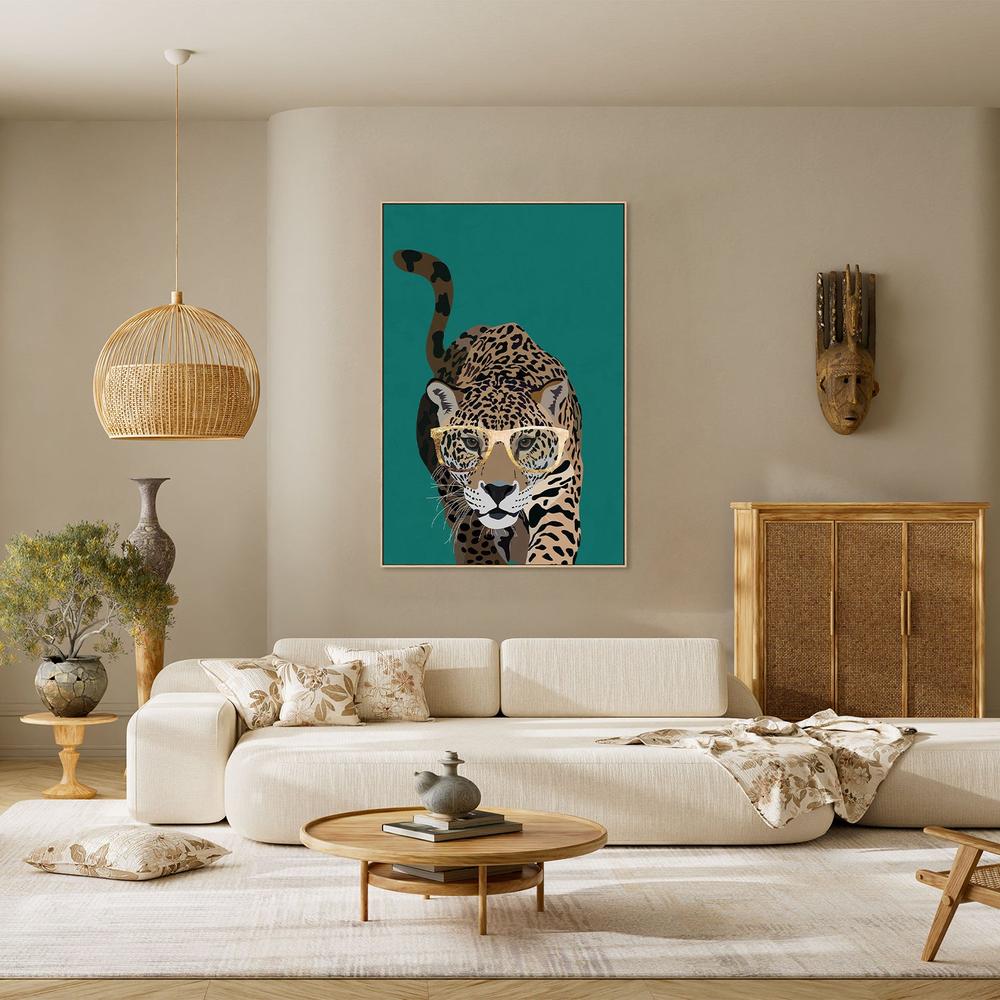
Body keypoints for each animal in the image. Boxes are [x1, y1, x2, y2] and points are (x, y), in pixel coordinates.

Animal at [393, 248, 583, 566]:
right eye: (471, 442)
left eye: (526, 442)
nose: (498, 490)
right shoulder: (459, 496)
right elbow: (474, 538)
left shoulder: (559, 494)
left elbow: (552, 546)